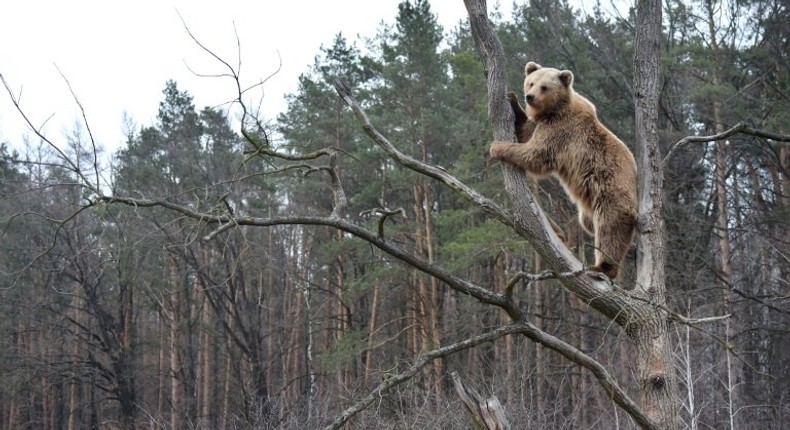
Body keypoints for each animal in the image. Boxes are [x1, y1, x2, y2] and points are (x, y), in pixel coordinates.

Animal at [492, 62, 640, 280]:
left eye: (544, 87)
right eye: (531, 82)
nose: (530, 96)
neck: (554, 110)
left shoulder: (560, 131)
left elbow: (535, 154)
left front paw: (496, 147)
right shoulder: (542, 123)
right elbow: (525, 132)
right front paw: (512, 100)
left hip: (611, 190)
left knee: (610, 228)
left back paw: (603, 266)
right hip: (588, 209)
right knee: (589, 224)